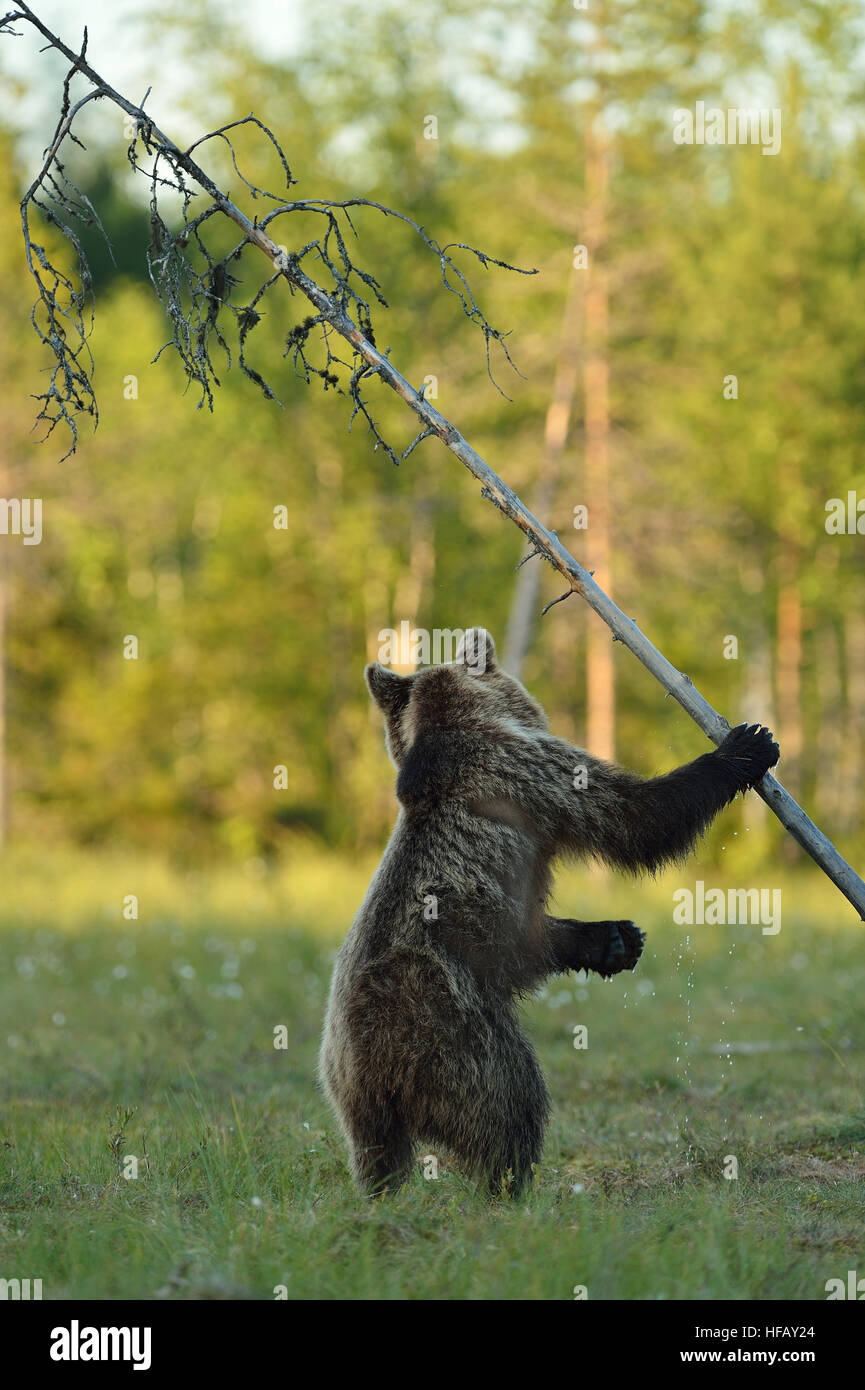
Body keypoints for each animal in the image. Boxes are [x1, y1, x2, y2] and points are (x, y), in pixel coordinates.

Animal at [318, 631, 778, 1195]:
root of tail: (366, 1064)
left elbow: (533, 939)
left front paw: (617, 939)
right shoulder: (533, 775)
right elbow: (635, 816)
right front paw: (745, 745)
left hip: (353, 1099)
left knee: (379, 1157)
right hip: (448, 1026)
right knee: (509, 1100)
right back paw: (511, 1185)